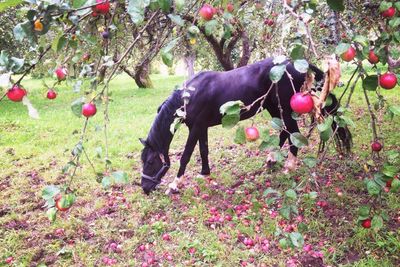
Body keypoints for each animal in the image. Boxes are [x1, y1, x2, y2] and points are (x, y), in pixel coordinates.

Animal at [139, 58, 352, 195]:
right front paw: (204, 174)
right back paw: (271, 160)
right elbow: (204, 150)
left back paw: (289, 167)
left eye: (149, 162)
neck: (189, 96)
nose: (145, 188)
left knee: (293, 134)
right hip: (273, 108)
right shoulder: (201, 128)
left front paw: (175, 185)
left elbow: (186, 156)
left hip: (284, 108)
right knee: (284, 132)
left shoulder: (196, 128)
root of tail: (297, 64)